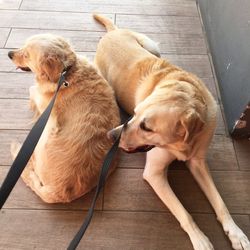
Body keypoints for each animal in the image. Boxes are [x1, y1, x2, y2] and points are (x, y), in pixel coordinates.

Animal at [7, 33, 120, 203]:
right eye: (23, 46)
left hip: (45, 133)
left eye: (26, 55)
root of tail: (58, 192)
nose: (9, 54)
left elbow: (32, 90)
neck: (66, 73)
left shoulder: (42, 102)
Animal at [93, 14, 249, 250]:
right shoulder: (154, 173)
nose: (111, 136)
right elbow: (185, 213)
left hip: (152, 47)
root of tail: (113, 32)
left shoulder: (197, 162)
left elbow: (221, 203)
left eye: (146, 127)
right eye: (134, 114)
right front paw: (200, 239)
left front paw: (236, 233)